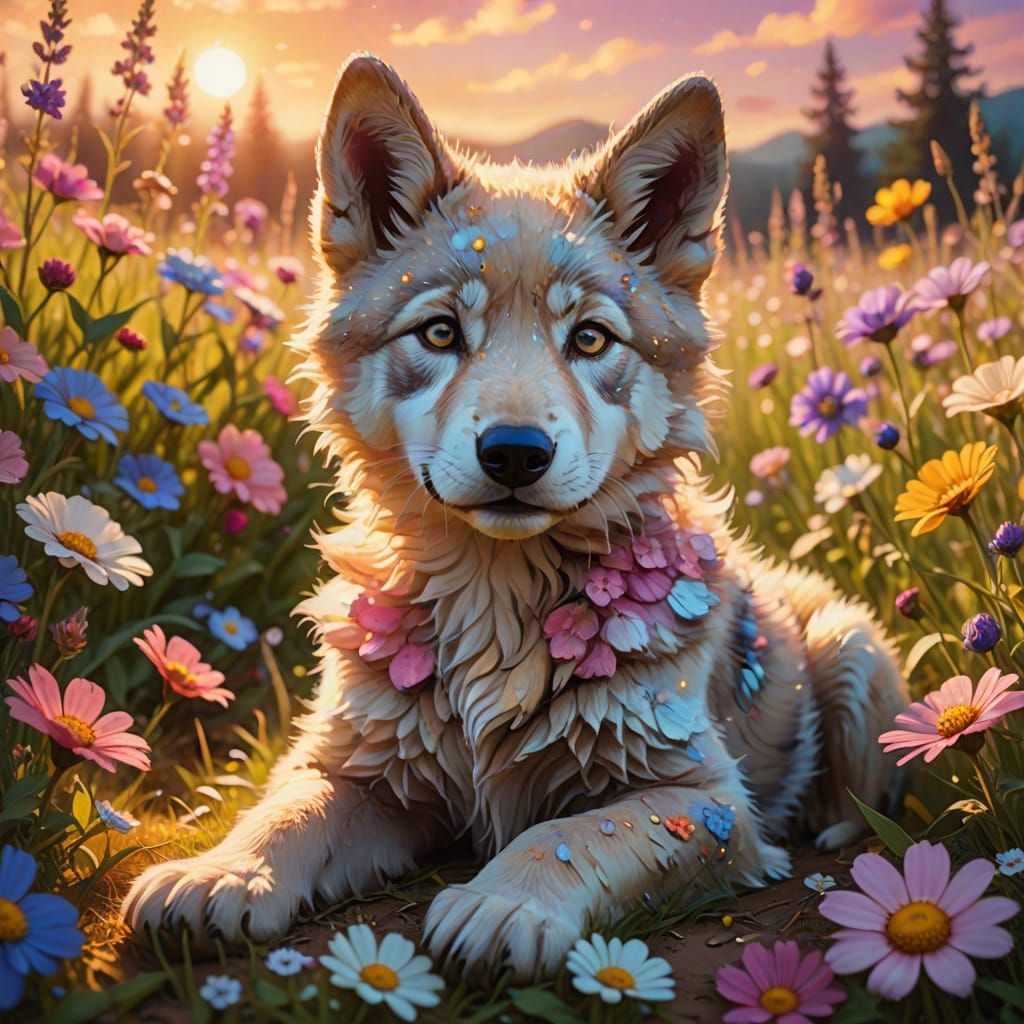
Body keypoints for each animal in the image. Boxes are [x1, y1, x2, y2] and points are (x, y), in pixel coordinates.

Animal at [124, 54, 906, 980]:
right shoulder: (363, 768)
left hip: (853, 655)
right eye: (439, 332)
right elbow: (287, 809)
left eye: (592, 340)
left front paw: (503, 903)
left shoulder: (705, 801)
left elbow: (574, 832)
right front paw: (223, 871)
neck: (497, 601)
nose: (515, 454)